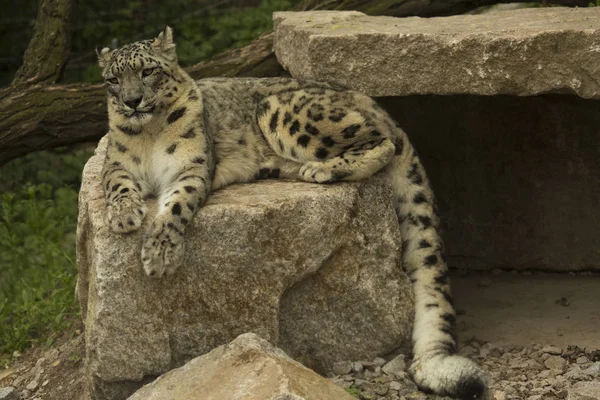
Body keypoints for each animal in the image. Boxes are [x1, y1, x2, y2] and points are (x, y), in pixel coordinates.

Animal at [94, 28, 488, 400]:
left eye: (147, 71)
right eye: (113, 79)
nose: (131, 101)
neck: (150, 135)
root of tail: (370, 100)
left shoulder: (191, 169)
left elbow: (176, 204)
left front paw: (159, 254)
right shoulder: (116, 164)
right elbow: (117, 186)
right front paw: (124, 215)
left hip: (284, 112)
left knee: (382, 143)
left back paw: (322, 170)